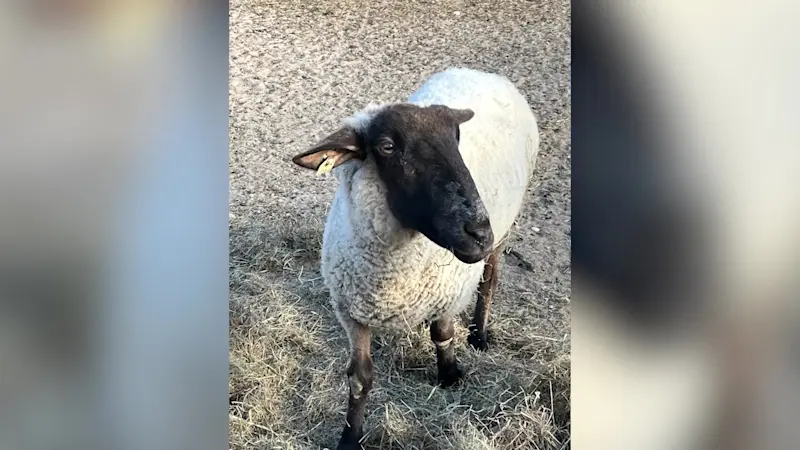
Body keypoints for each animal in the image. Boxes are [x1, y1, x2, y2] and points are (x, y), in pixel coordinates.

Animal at [290, 67, 540, 450]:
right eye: (387, 146)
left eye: (456, 138)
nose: (478, 232)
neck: (391, 277)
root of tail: (478, 71)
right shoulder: (352, 311)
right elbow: (359, 378)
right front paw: (350, 436)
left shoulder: (448, 293)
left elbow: (443, 333)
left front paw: (449, 374)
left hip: (505, 228)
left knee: (490, 279)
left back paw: (479, 335)